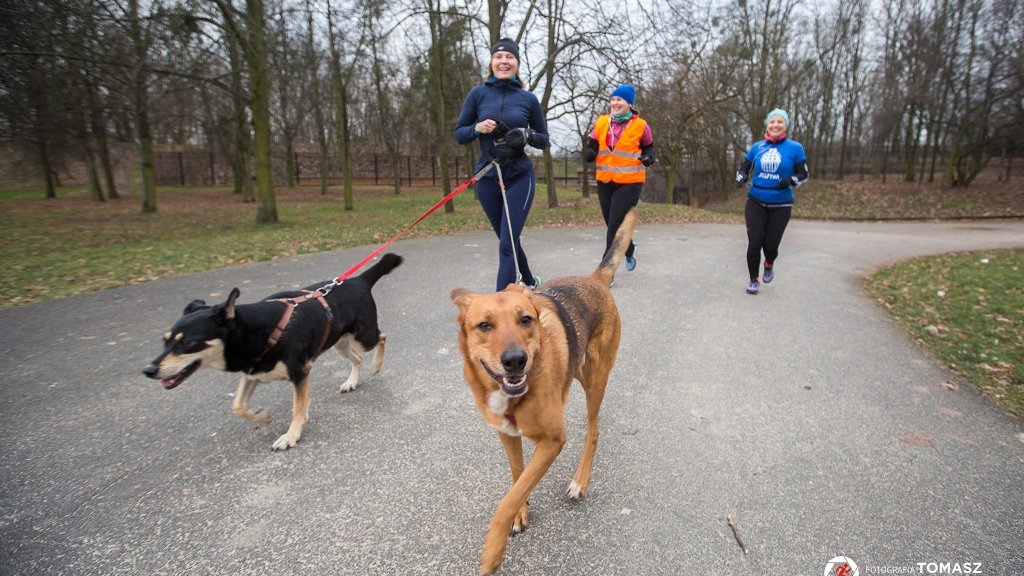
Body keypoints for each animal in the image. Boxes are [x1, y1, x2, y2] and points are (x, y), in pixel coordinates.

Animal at [143, 254, 403, 448]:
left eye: (187, 342)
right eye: (165, 340)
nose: (148, 370)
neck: (255, 330)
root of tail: (359, 280)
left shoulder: (300, 372)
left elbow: (298, 410)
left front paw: (290, 436)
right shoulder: (253, 372)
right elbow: (237, 406)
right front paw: (261, 415)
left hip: (362, 337)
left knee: (382, 337)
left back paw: (376, 365)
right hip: (339, 342)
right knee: (357, 358)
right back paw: (351, 381)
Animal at [452, 206, 634, 569]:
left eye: (526, 319)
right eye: (484, 325)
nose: (515, 361)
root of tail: (595, 279)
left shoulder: (552, 441)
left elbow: (507, 499)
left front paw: (493, 549)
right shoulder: (507, 435)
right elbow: (517, 478)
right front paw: (520, 512)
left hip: (595, 381)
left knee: (593, 431)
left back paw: (580, 481)